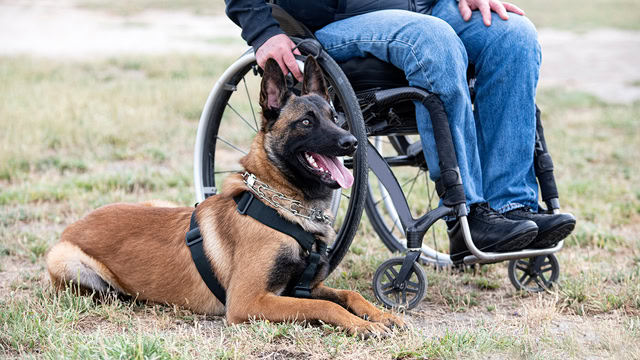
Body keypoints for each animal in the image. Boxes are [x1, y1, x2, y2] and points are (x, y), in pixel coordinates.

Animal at [45, 56, 404, 338]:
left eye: (334, 116)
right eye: (306, 121)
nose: (352, 142)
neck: (282, 205)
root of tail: (76, 223)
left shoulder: (305, 287)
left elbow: (349, 294)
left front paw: (382, 314)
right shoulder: (250, 301)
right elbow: (327, 308)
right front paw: (363, 325)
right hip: (64, 260)